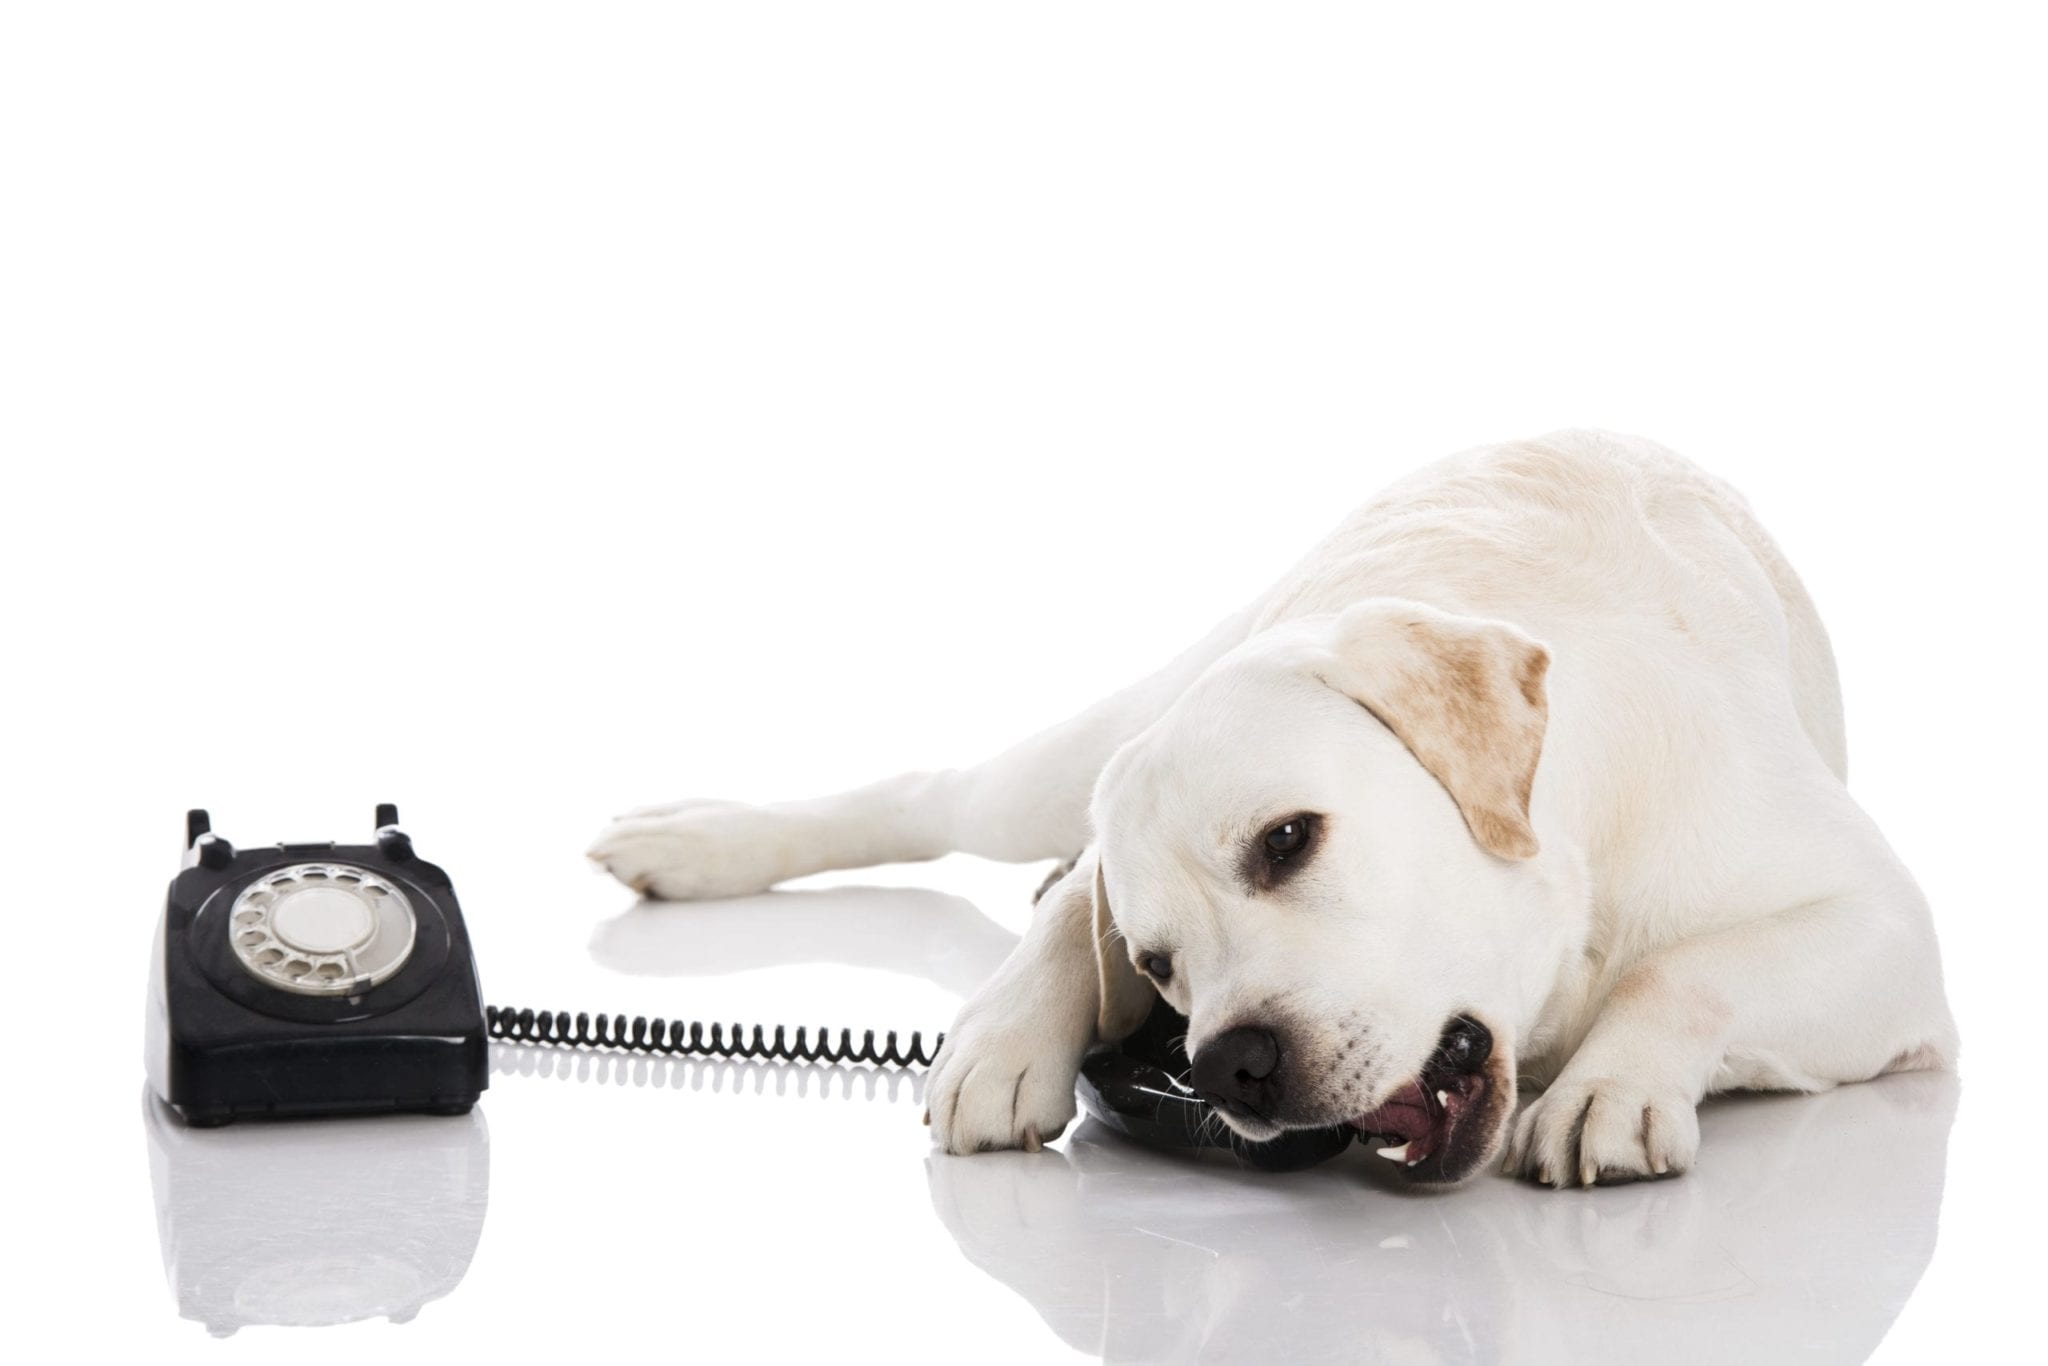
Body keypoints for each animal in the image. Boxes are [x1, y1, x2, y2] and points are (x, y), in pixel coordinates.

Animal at [589, 430, 1949, 1187]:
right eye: (1158, 964)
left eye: (1287, 841)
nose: (1226, 1062)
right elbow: (1068, 908)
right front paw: (1008, 1029)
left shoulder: (1885, 936)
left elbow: (1683, 972)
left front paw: (1611, 1086)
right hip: (1090, 743)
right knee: (948, 799)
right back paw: (697, 842)